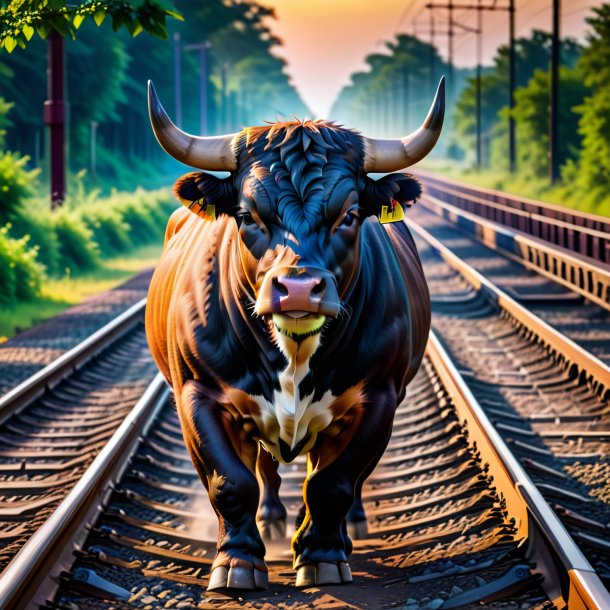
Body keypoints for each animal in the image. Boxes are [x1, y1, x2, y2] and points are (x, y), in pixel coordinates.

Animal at [145, 78, 444, 592]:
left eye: (349, 215)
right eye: (247, 214)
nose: (299, 288)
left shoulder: (379, 397)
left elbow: (332, 483)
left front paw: (321, 554)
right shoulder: (197, 394)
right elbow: (231, 482)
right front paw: (237, 562)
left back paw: (345, 530)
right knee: (264, 467)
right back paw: (271, 521)